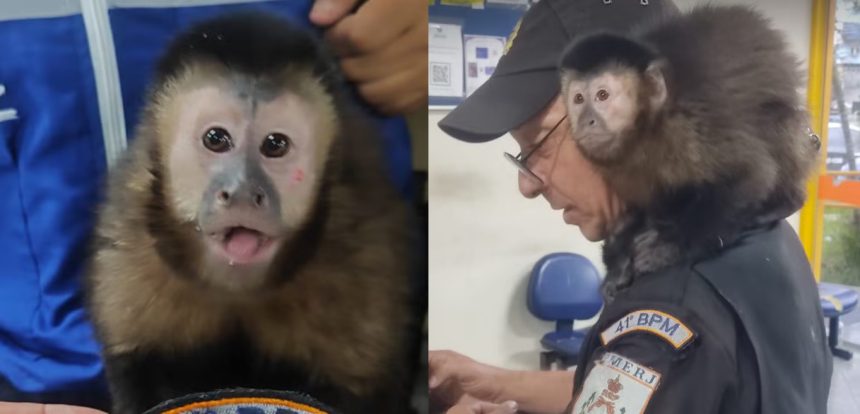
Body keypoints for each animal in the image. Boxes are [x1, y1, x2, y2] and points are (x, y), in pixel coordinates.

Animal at [558, 6, 820, 298]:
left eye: (602, 96)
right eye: (578, 100)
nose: (587, 121)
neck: (649, 127)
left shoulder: (690, 124)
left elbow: (751, 173)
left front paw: (671, 247)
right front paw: (619, 257)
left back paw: (784, 203)